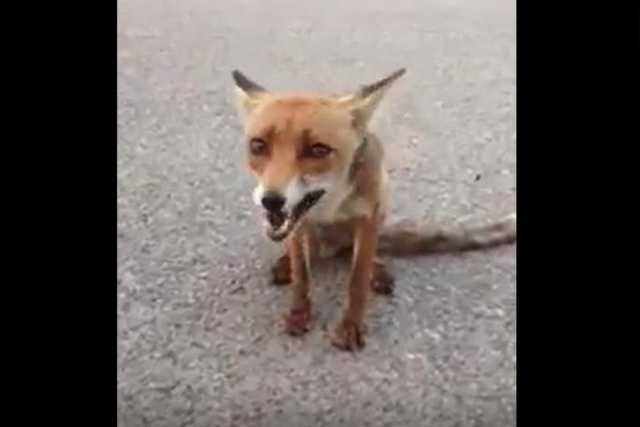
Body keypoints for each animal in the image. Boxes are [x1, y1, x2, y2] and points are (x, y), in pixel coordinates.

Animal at [231, 68, 516, 351]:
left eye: (318, 150)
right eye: (258, 145)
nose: (271, 200)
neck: (332, 206)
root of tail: (334, 244)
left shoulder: (368, 218)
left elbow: (358, 279)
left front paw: (351, 326)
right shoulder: (299, 224)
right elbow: (301, 277)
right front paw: (299, 314)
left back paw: (377, 271)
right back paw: (286, 263)